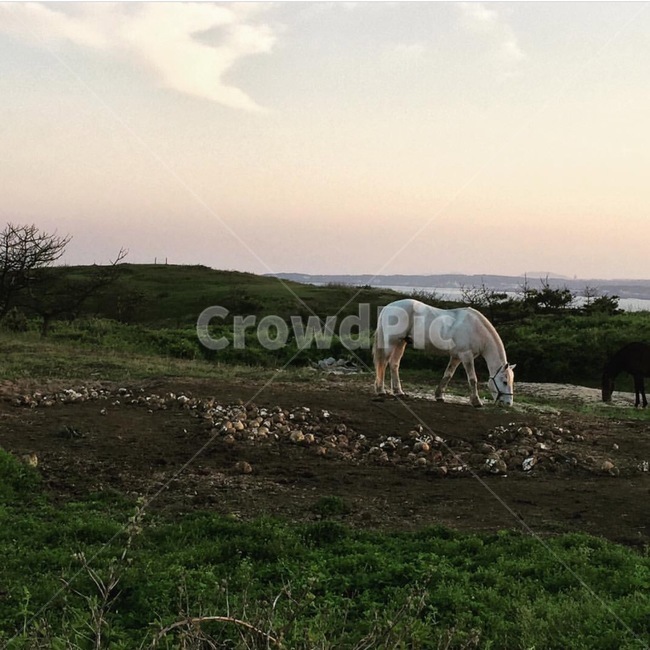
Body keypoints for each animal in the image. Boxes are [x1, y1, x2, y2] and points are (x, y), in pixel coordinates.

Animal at [373, 298, 515, 407]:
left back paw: (399, 392)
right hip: (391, 343)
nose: (509, 403)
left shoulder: (456, 357)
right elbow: (472, 378)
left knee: (394, 364)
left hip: (401, 343)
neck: (475, 328)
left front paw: (439, 396)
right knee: (383, 363)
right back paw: (380, 390)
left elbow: (448, 375)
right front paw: (476, 401)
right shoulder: (466, 356)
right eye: (504, 382)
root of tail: (388, 307)